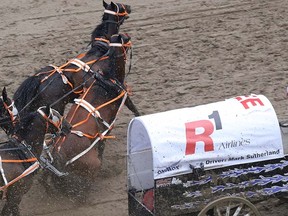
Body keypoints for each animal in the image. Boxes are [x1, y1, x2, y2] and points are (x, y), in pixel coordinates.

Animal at [42, 32, 133, 199]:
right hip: (91, 168)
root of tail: (58, 157)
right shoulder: (125, 99)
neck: (106, 80)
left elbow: (102, 144)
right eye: (124, 38)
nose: (129, 36)